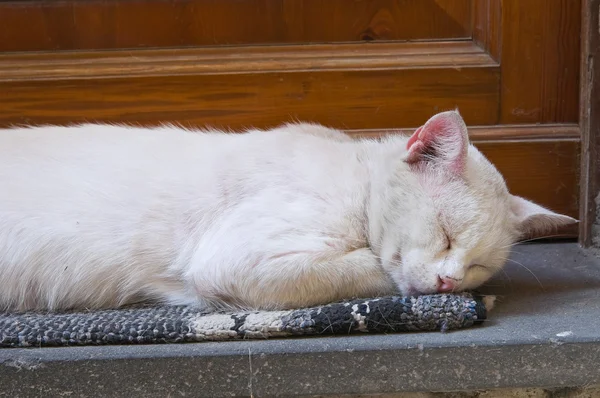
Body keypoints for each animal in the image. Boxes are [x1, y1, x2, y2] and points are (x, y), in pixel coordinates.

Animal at [0, 110, 576, 312]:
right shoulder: (232, 259)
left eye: (478, 264)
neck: (355, 171)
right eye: (446, 234)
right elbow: (371, 269)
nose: (450, 283)